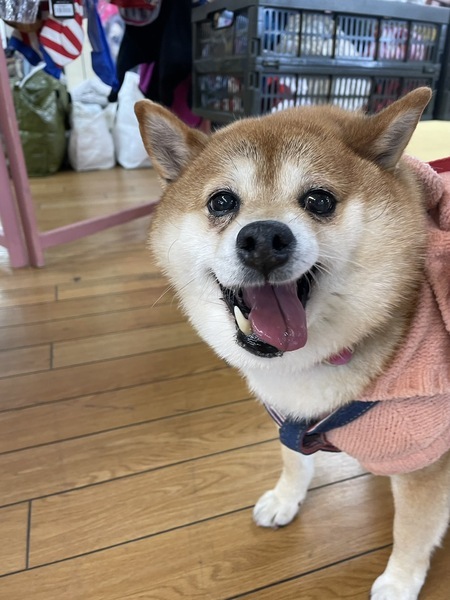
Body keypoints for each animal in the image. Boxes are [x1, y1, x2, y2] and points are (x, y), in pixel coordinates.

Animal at [135, 88, 450, 599]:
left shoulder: (424, 458)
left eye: (319, 200)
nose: (264, 237)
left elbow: (413, 528)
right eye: (221, 201)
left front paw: (400, 580)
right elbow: (294, 460)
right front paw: (286, 499)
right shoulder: (288, 413)